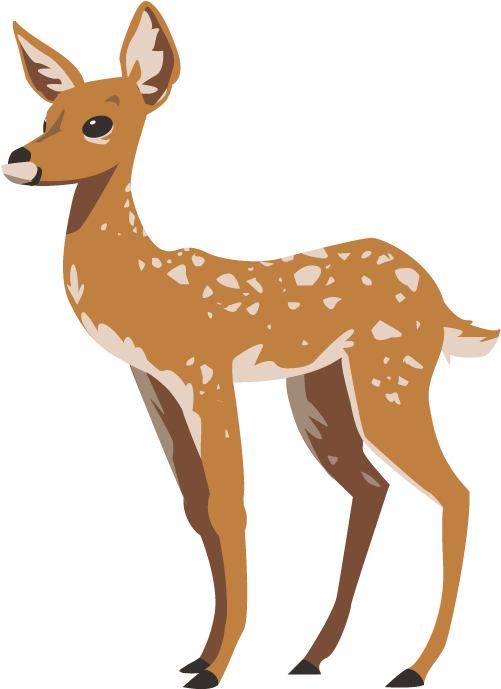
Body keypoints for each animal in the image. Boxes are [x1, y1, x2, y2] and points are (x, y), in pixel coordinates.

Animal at [2, 3, 499, 688]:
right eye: (47, 115)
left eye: (98, 122)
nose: (17, 159)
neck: (146, 285)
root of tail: (438, 301)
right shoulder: (155, 384)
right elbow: (196, 508)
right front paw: (199, 656)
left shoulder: (207, 372)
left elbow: (229, 507)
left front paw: (215, 669)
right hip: (318, 391)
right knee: (371, 486)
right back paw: (312, 658)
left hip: (391, 374)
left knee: (453, 490)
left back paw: (414, 669)